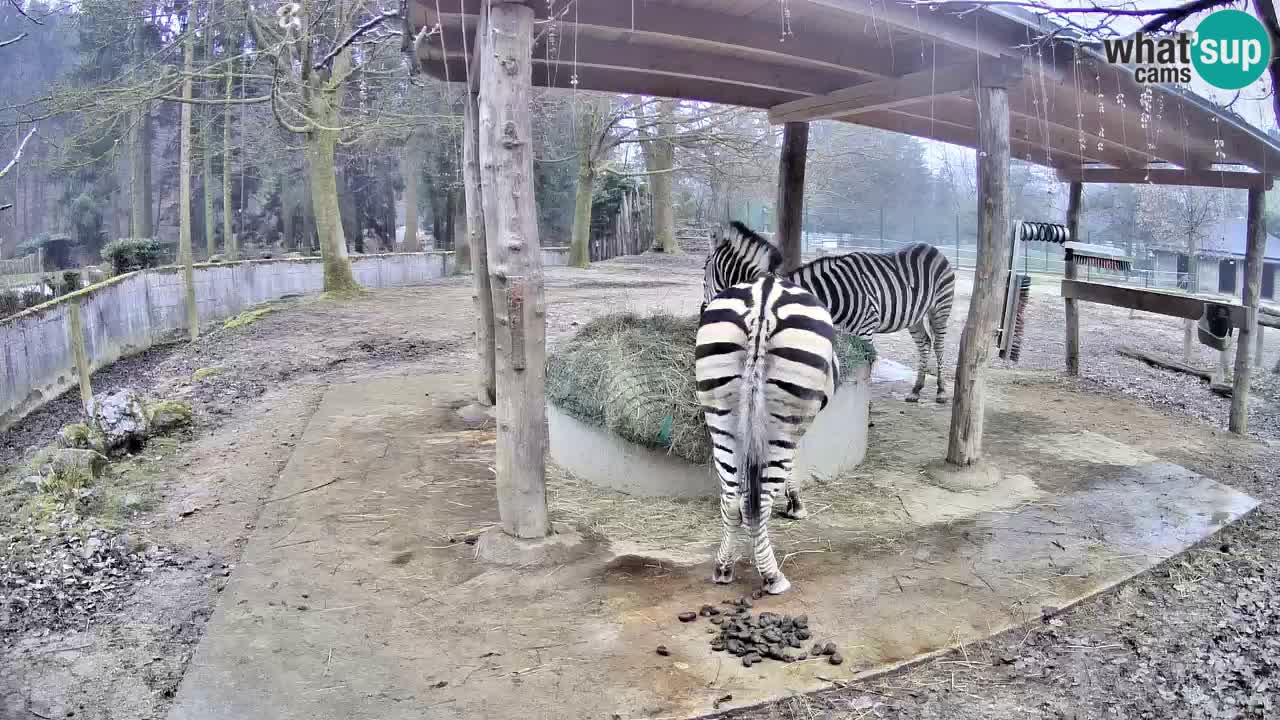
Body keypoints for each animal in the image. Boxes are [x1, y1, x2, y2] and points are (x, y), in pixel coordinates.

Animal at [696, 271, 834, 591]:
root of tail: (763, 303)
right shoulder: (801, 421)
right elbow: (793, 465)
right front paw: (796, 504)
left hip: (721, 415)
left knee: (732, 500)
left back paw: (723, 567)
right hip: (783, 420)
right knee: (759, 504)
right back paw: (772, 576)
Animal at [706, 219, 957, 404]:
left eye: (705, 271)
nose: (704, 312)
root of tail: (931, 247)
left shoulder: (865, 331)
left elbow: (866, 371)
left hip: (940, 308)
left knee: (938, 345)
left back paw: (941, 392)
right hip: (914, 317)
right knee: (924, 344)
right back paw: (916, 390)